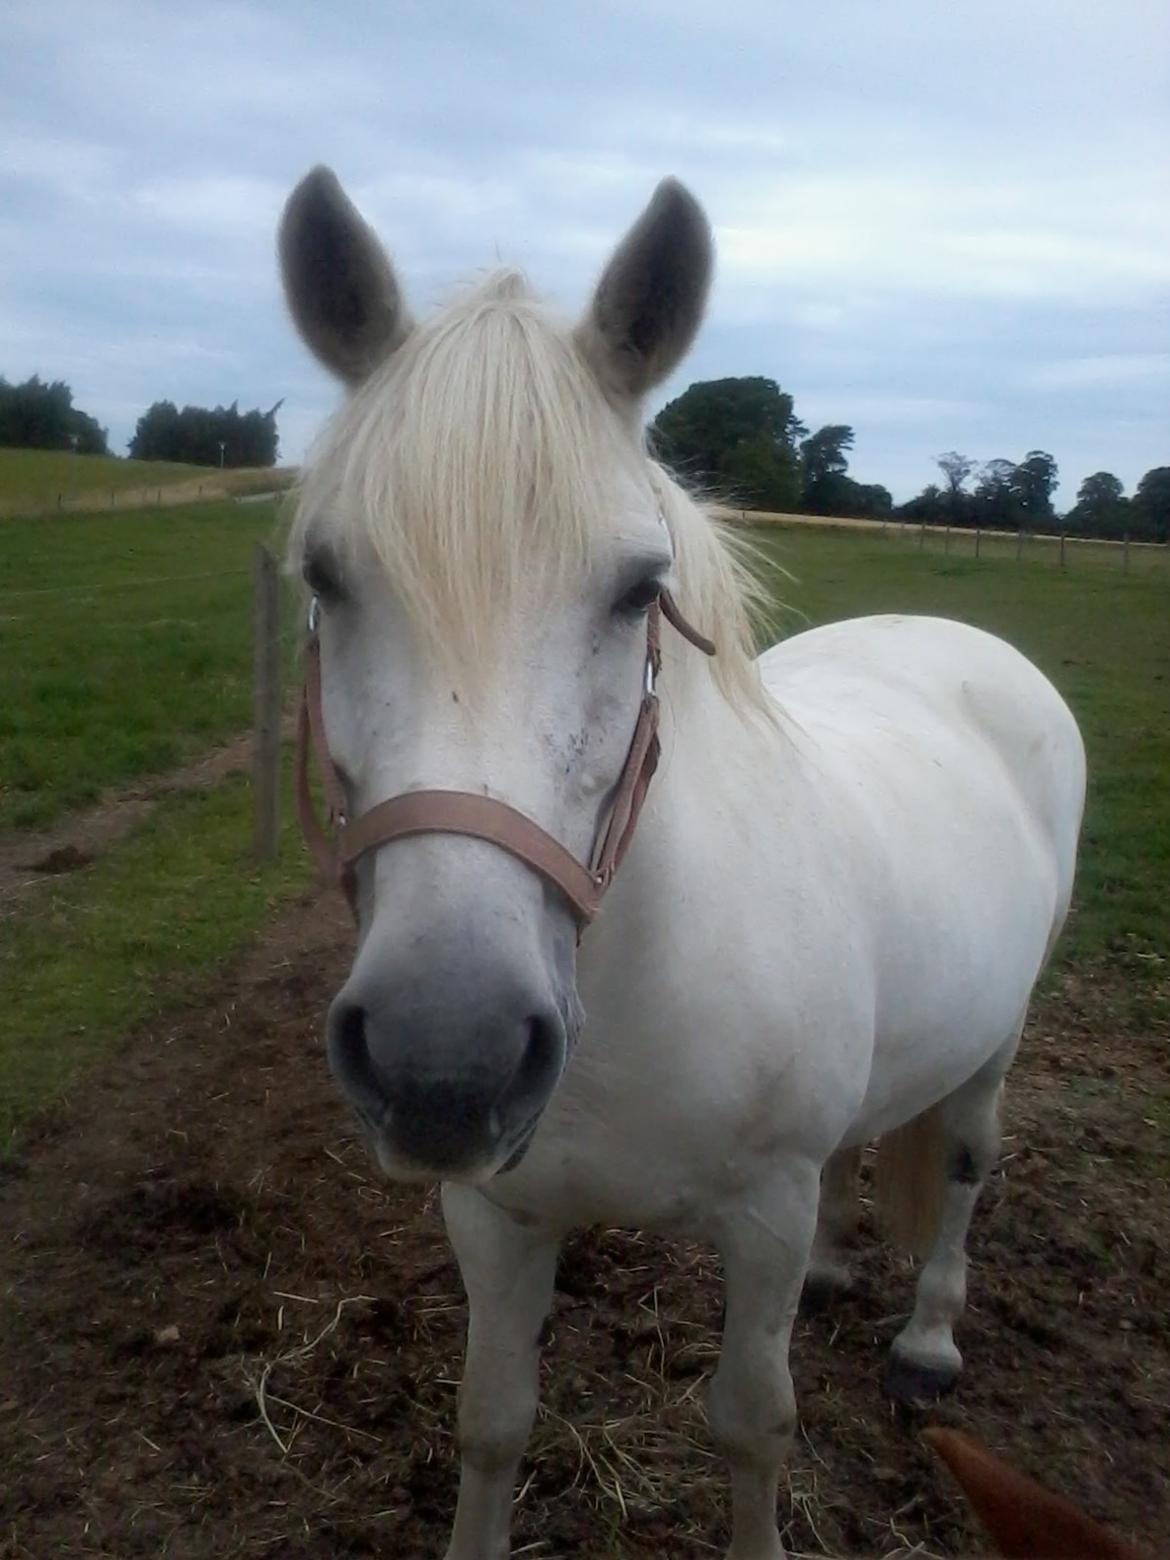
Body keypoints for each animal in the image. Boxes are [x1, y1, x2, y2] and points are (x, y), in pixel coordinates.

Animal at [279, 170, 1085, 1560]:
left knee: (966, 1164)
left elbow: (752, 1429)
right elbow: (492, 1421)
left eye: (636, 588)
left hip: (999, 1038)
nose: (448, 1054)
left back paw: (928, 1339)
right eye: (327, 575)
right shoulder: (495, 1214)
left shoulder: (760, 1218)